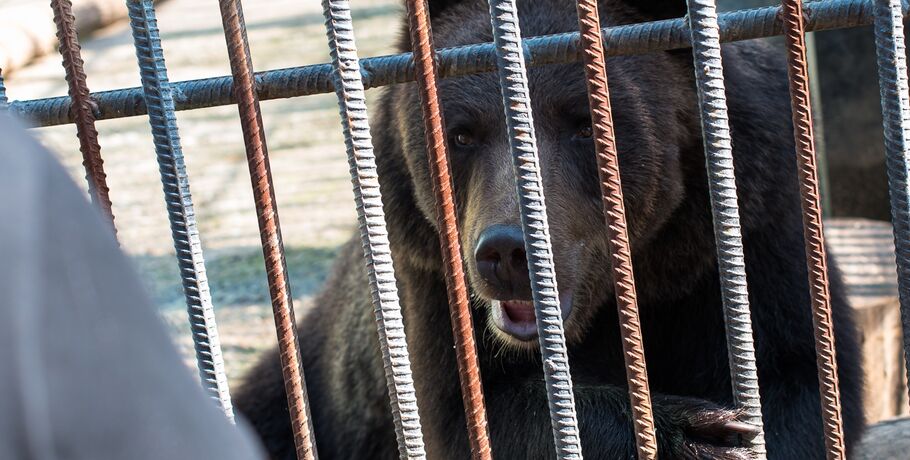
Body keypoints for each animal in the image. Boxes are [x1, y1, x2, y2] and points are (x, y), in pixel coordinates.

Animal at [233, 1, 864, 458]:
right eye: (460, 134)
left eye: (585, 124)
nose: (507, 251)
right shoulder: (429, 270)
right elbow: (472, 414)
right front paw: (698, 434)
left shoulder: (751, 218)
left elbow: (801, 376)